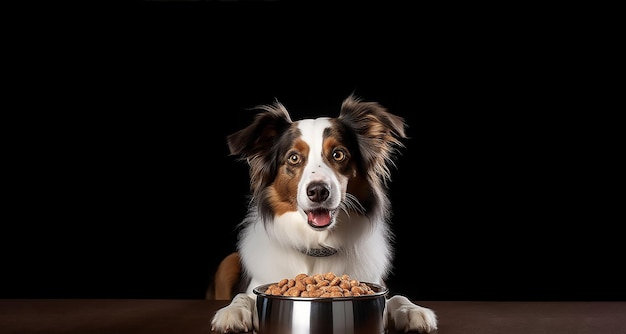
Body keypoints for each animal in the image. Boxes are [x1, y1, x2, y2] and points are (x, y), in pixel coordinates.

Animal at [208, 94, 434, 334]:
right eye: (294, 158)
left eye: (338, 154)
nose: (318, 191)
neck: (317, 245)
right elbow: (243, 296)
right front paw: (231, 313)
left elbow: (396, 297)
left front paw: (413, 311)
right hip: (227, 263)